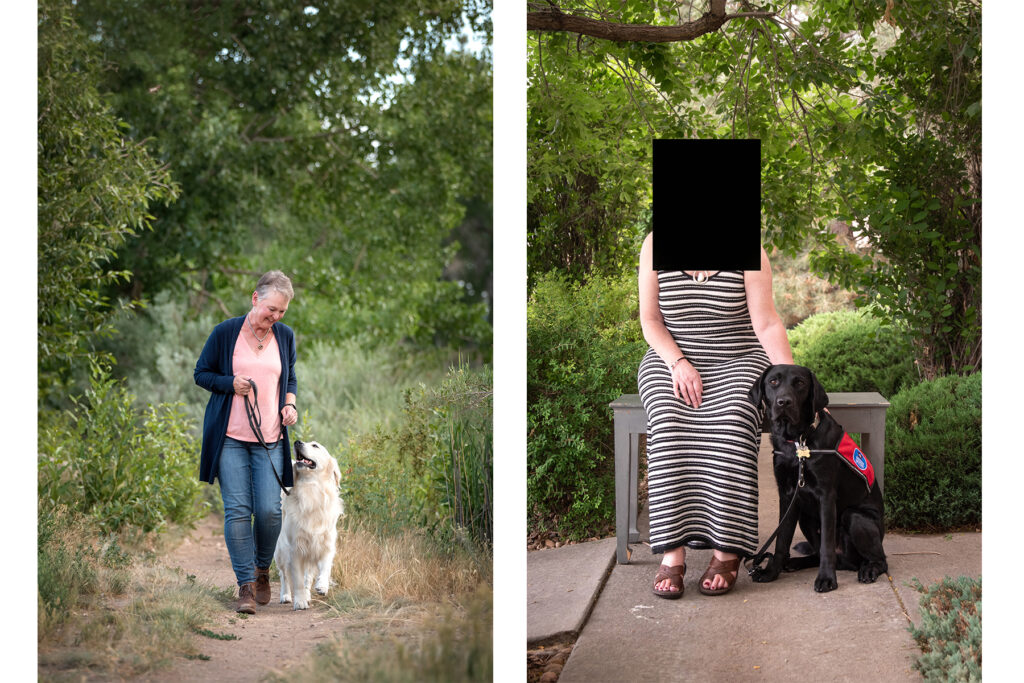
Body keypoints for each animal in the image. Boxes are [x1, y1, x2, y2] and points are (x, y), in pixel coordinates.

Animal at [276, 440, 344, 610]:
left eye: (315, 446)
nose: (297, 442)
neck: (311, 490)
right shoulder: (295, 549)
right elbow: (298, 580)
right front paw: (299, 601)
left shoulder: (326, 544)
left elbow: (325, 567)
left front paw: (322, 586)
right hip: (280, 551)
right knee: (283, 575)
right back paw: (286, 595)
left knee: (307, 577)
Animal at [745, 362, 888, 593]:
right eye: (773, 381)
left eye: (800, 383)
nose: (784, 402)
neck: (798, 441)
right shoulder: (787, 496)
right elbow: (782, 539)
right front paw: (771, 571)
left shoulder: (826, 496)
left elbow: (827, 544)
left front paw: (827, 579)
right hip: (805, 516)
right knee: (818, 553)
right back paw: (795, 562)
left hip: (855, 518)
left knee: (880, 559)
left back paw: (868, 569)